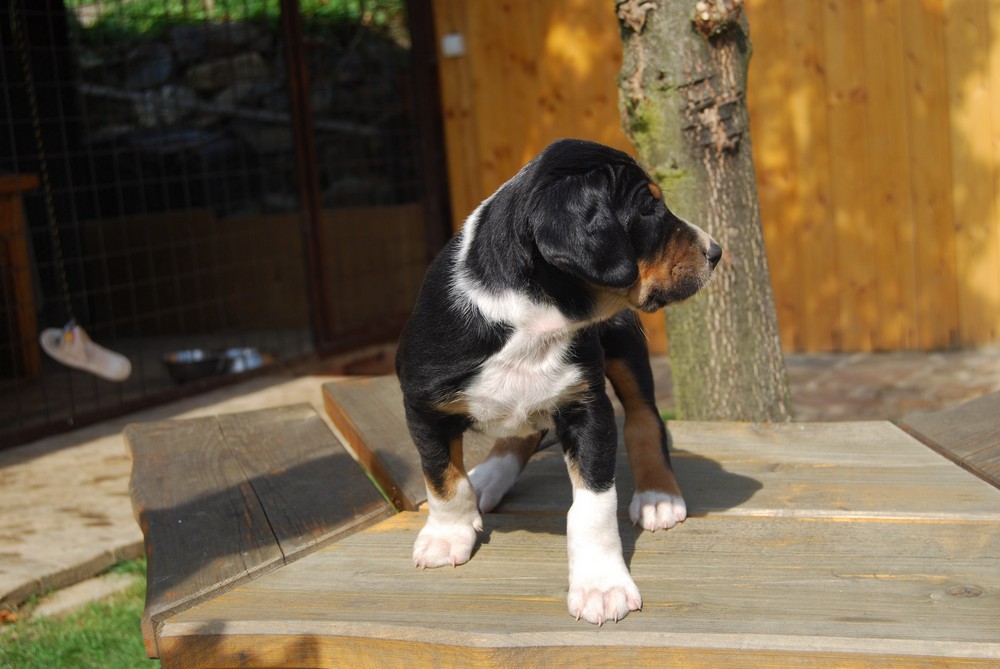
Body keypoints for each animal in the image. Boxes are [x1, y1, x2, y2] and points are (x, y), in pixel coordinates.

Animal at [394, 138, 724, 624]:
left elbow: (592, 508)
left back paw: (657, 494)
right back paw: (488, 477)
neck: (532, 320)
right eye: (648, 207)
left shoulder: (587, 408)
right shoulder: (422, 406)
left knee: (644, 419)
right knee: (521, 432)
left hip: (624, 345)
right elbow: (442, 479)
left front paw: (601, 585)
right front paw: (447, 534)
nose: (715, 251)